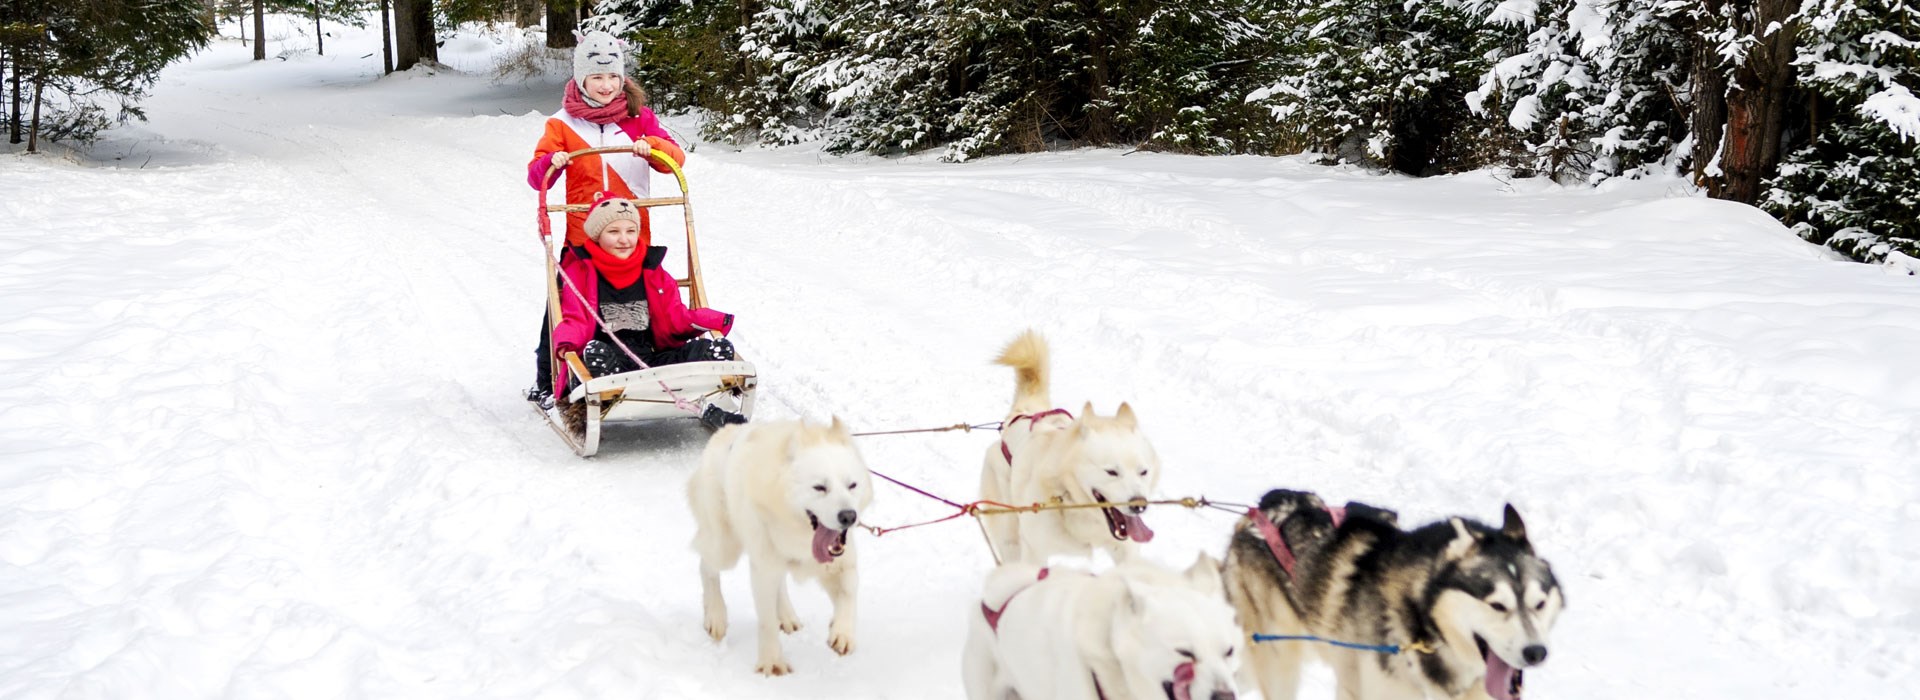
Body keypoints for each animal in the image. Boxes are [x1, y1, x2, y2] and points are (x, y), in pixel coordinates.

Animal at [687, 418, 875, 675]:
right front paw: (771, 662)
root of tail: (726, 431)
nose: (849, 516)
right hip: (725, 547)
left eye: (852, 485)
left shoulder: (840, 564)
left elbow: (849, 593)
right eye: (819, 487)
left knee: (781, 582)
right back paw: (715, 615)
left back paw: (786, 615)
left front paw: (842, 631)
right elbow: (766, 621)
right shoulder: (763, 569)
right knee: (706, 566)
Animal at [983, 329, 1159, 563]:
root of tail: (1024, 413)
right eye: (1111, 472)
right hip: (1009, 535)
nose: (1139, 505)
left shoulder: (1126, 547)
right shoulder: (1034, 551)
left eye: (1143, 472)